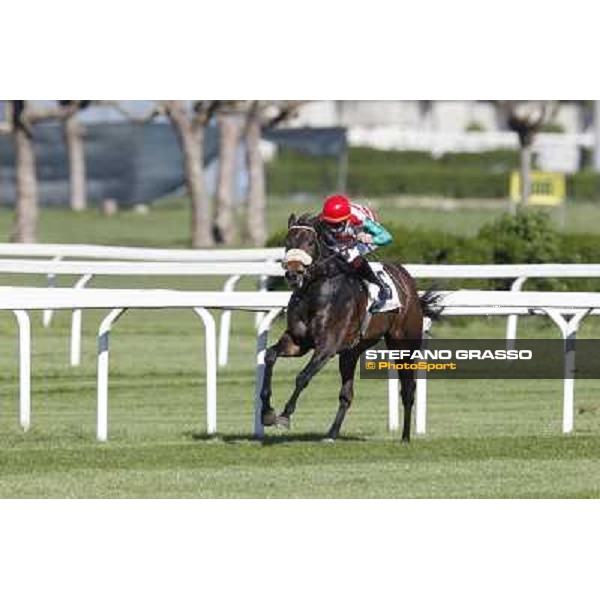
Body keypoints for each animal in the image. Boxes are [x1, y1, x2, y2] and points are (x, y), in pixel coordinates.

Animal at [258, 213, 436, 438]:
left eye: (310, 242)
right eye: (287, 241)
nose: (293, 273)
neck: (316, 291)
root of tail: (409, 284)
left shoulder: (327, 347)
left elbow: (303, 377)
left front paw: (284, 415)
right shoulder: (298, 342)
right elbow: (270, 355)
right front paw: (267, 412)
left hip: (403, 345)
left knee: (408, 389)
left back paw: (405, 437)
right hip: (351, 352)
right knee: (346, 395)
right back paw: (331, 434)